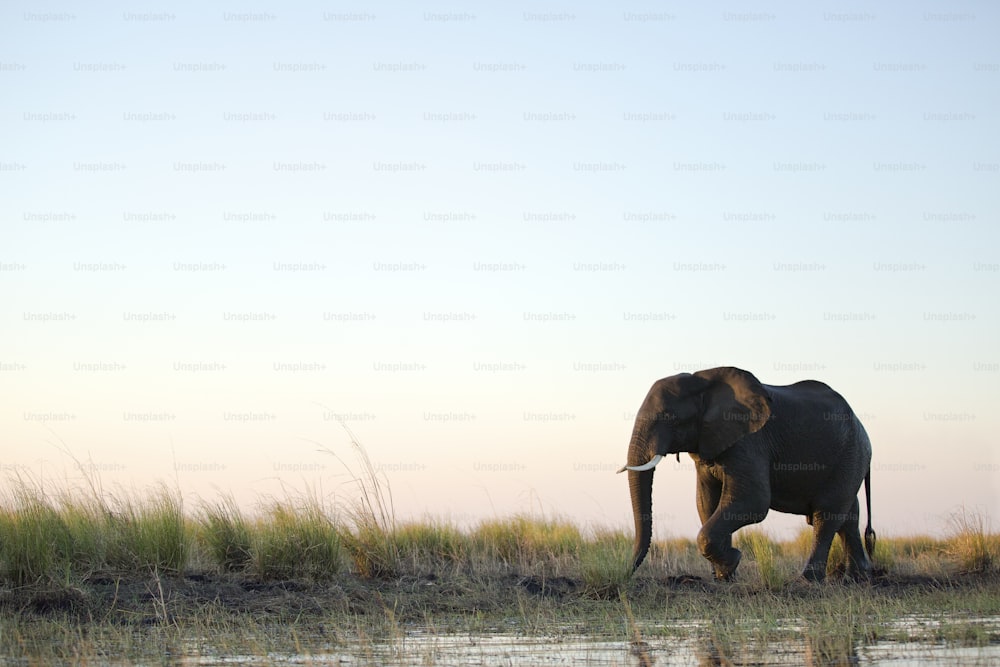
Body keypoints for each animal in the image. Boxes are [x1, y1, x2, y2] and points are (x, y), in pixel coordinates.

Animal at [616, 368, 876, 580]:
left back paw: (809, 580)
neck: (703, 382)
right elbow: (706, 502)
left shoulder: (750, 441)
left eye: (669, 417)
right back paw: (857, 577)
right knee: (848, 515)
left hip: (851, 453)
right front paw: (724, 576)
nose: (626, 573)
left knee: (827, 514)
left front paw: (733, 560)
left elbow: (752, 500)